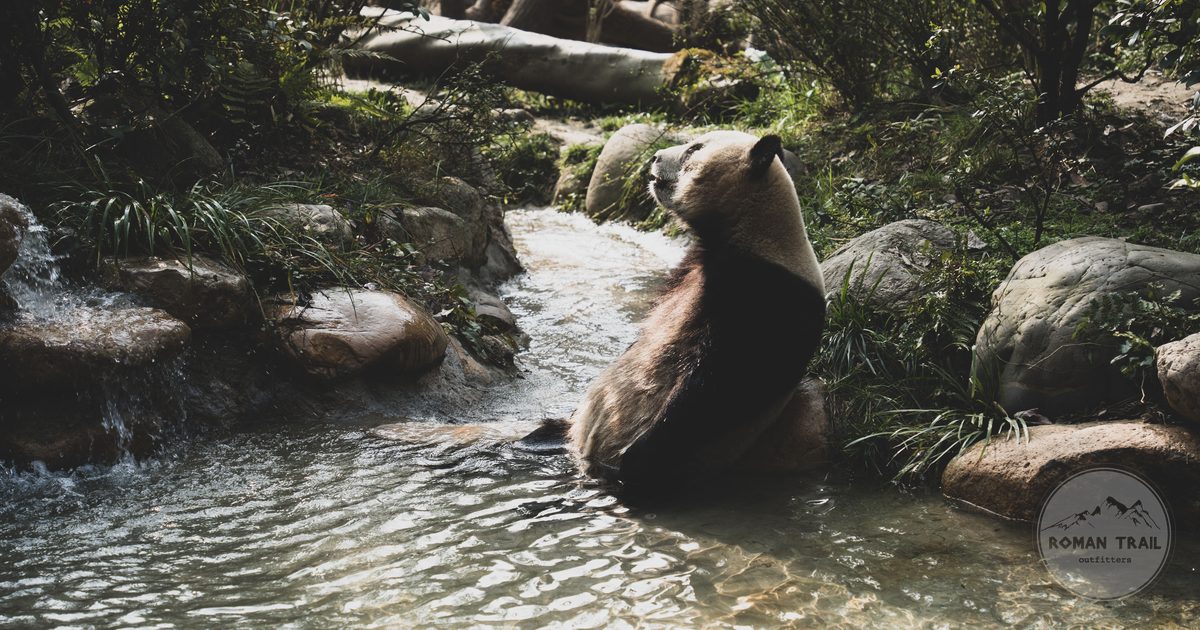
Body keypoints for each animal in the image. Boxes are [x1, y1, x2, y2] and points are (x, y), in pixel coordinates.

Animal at [567, 130, 827, 490]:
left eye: (693, 149)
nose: (654, 157)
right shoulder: (689, 268)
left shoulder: (769, 295)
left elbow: (723, 381)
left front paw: (636, 455)